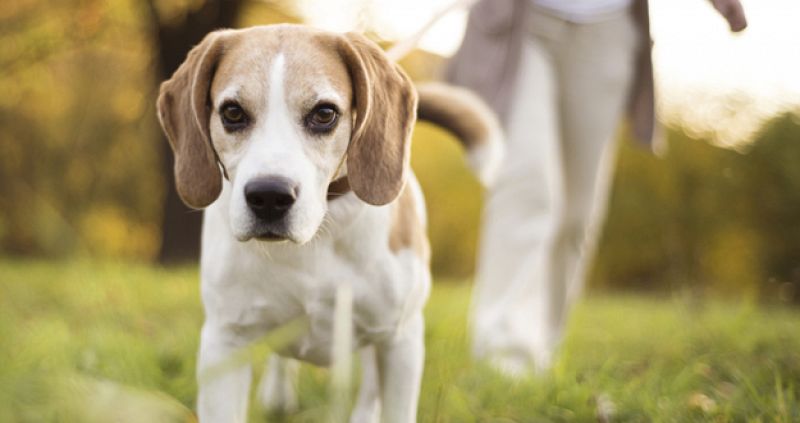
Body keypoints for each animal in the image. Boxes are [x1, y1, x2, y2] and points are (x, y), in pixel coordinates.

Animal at [156, 24, 500, 423]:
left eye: (324, 114)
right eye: (232, 112)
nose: (269, 196)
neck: (317, 238)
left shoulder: (400, 341)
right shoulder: (224, 341)